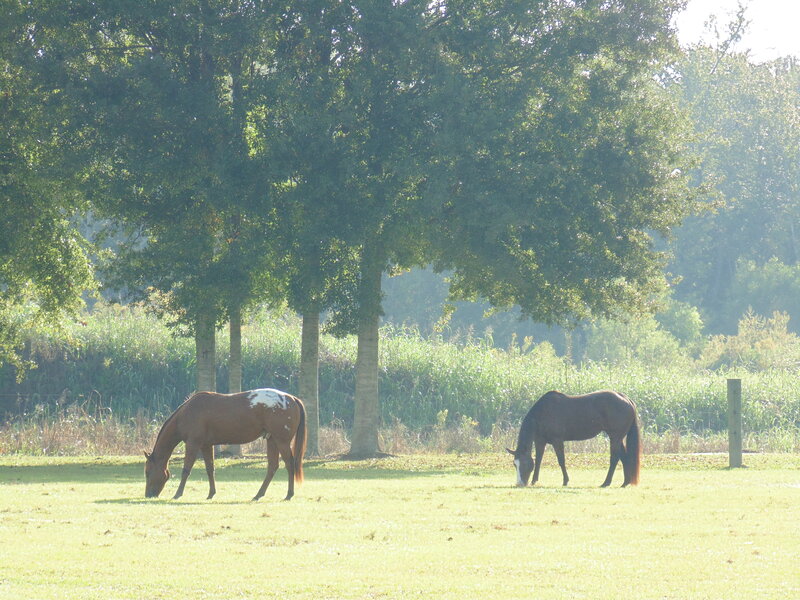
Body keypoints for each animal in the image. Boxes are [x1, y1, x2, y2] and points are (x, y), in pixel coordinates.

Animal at [144, 388, 306, 501]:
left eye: (147, 472)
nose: (148, 494)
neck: (188, 413)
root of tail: (292, 399)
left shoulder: (193, 444)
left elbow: (186, 470)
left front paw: (178, 494)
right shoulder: (206, 445)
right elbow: (210, 469)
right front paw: (211, 493)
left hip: (281, 441)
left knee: (290, 464)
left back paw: (289, 494)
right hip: (272, 440)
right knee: (272, 466)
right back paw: (258, 494)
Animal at [507, 390, 641, 488]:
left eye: (524, 463)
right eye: (514, 464)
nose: (519, 484)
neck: (543, 412)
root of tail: (626, 399)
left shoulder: (557, 441)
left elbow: (561, 461)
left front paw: (565, 481)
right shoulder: (540, 441)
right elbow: (539, 460)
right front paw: (534, 481)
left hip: (615, 437)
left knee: (614, 458)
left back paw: (606, 483)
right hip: (617, 438)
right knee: (624, 457)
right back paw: (625, 483)